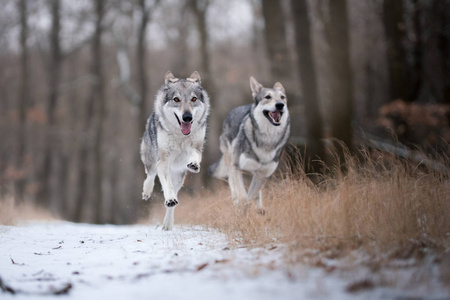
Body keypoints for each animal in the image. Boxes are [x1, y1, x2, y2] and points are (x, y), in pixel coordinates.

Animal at [140, 71, 210, 231]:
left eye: (194, 99)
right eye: (176, 99)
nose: (187, 117)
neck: (180, 135)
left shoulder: (196, 147)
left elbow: (195, 155)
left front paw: (194, 165)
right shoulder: (163, 161)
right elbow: (167, 187)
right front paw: (170, 199)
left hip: (179, 176)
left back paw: (167, 224)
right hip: (151, 160)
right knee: (150, 175)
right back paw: (147, 192)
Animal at [210, 77, 290, 213]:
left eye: (282, 97)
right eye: (267, 97)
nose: (280, 104)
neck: (267, 139)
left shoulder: (263, 174)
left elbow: (250, 196)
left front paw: (247, 210)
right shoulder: (236, 167)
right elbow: (243, 196)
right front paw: (240, 210)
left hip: (256, 173)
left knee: (256, 193)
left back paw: (259, 208)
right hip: (231, 162)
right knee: (232, 184)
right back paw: (237, 202)